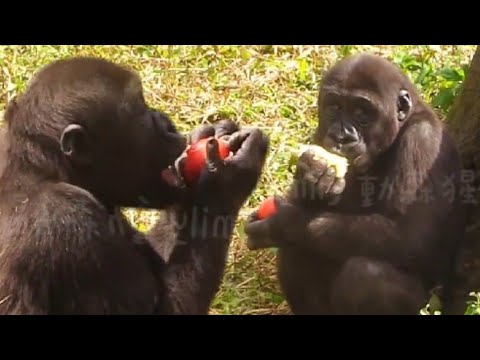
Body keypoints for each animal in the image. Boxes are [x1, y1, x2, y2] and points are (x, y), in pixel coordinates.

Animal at [244, 53, 464, 316]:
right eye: (334, 107)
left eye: (361, 112)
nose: (342, 136)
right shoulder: (321, 133)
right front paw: (312, 178)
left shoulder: (423, 140)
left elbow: (411, 236)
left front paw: (283, 223)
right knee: (296, 248)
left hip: (432, 305)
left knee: (366, 275)